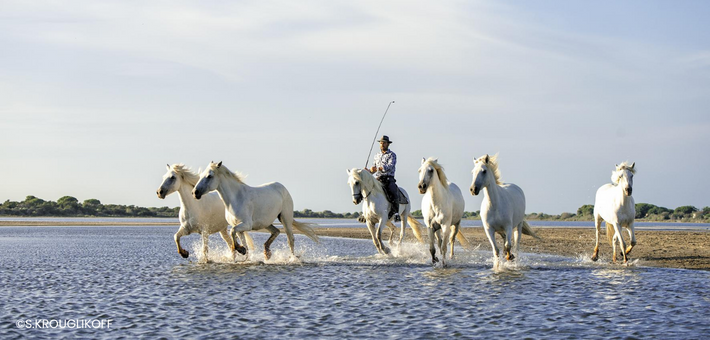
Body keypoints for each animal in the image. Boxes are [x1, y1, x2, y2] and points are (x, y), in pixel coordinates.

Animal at [192, 162, 320, 260]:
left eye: (209, 176)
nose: (195, 193)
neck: (235, 199)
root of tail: (283, 188)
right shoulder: (238, 227)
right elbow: (241, 241)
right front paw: (243, 253)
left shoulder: (246, 225)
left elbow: (233, 232)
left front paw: (240, 250)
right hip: (266, 222)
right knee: (276, 231)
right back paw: (267, 253)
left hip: (285, 218)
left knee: (290, 239)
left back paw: (292, 258)